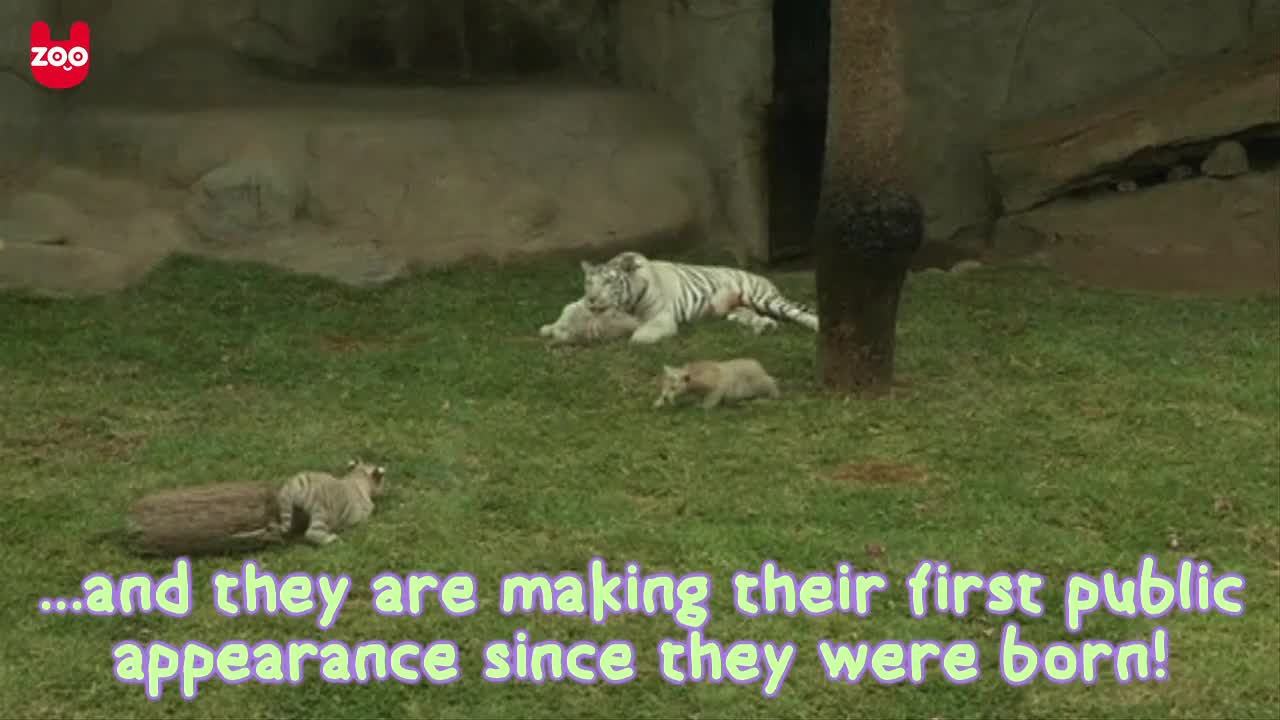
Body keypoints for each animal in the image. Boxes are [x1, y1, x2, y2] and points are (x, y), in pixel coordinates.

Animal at [581, 251, 819, 343]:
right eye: (589, 282)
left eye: (608, 281)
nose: (590, 299)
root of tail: (763, 277)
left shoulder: (662, 317)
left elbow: (639, 336)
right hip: (736, 310)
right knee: (755, 317)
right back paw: (765, 327)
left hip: (763, 298)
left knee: (798, 312)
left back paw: (816, 325)